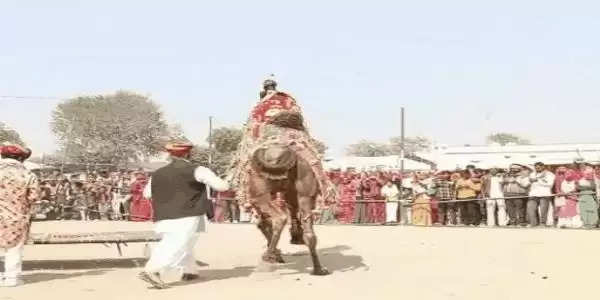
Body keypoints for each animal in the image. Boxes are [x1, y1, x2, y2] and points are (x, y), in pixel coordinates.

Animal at [248, 144, 332, 276]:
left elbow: (262, 225)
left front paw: (276, 255)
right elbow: (264, 224)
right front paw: (277, 254)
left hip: (258, 192)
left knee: (279, 217)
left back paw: (267, 257)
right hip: (305, 189)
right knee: (309, 233)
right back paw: (319, 270)